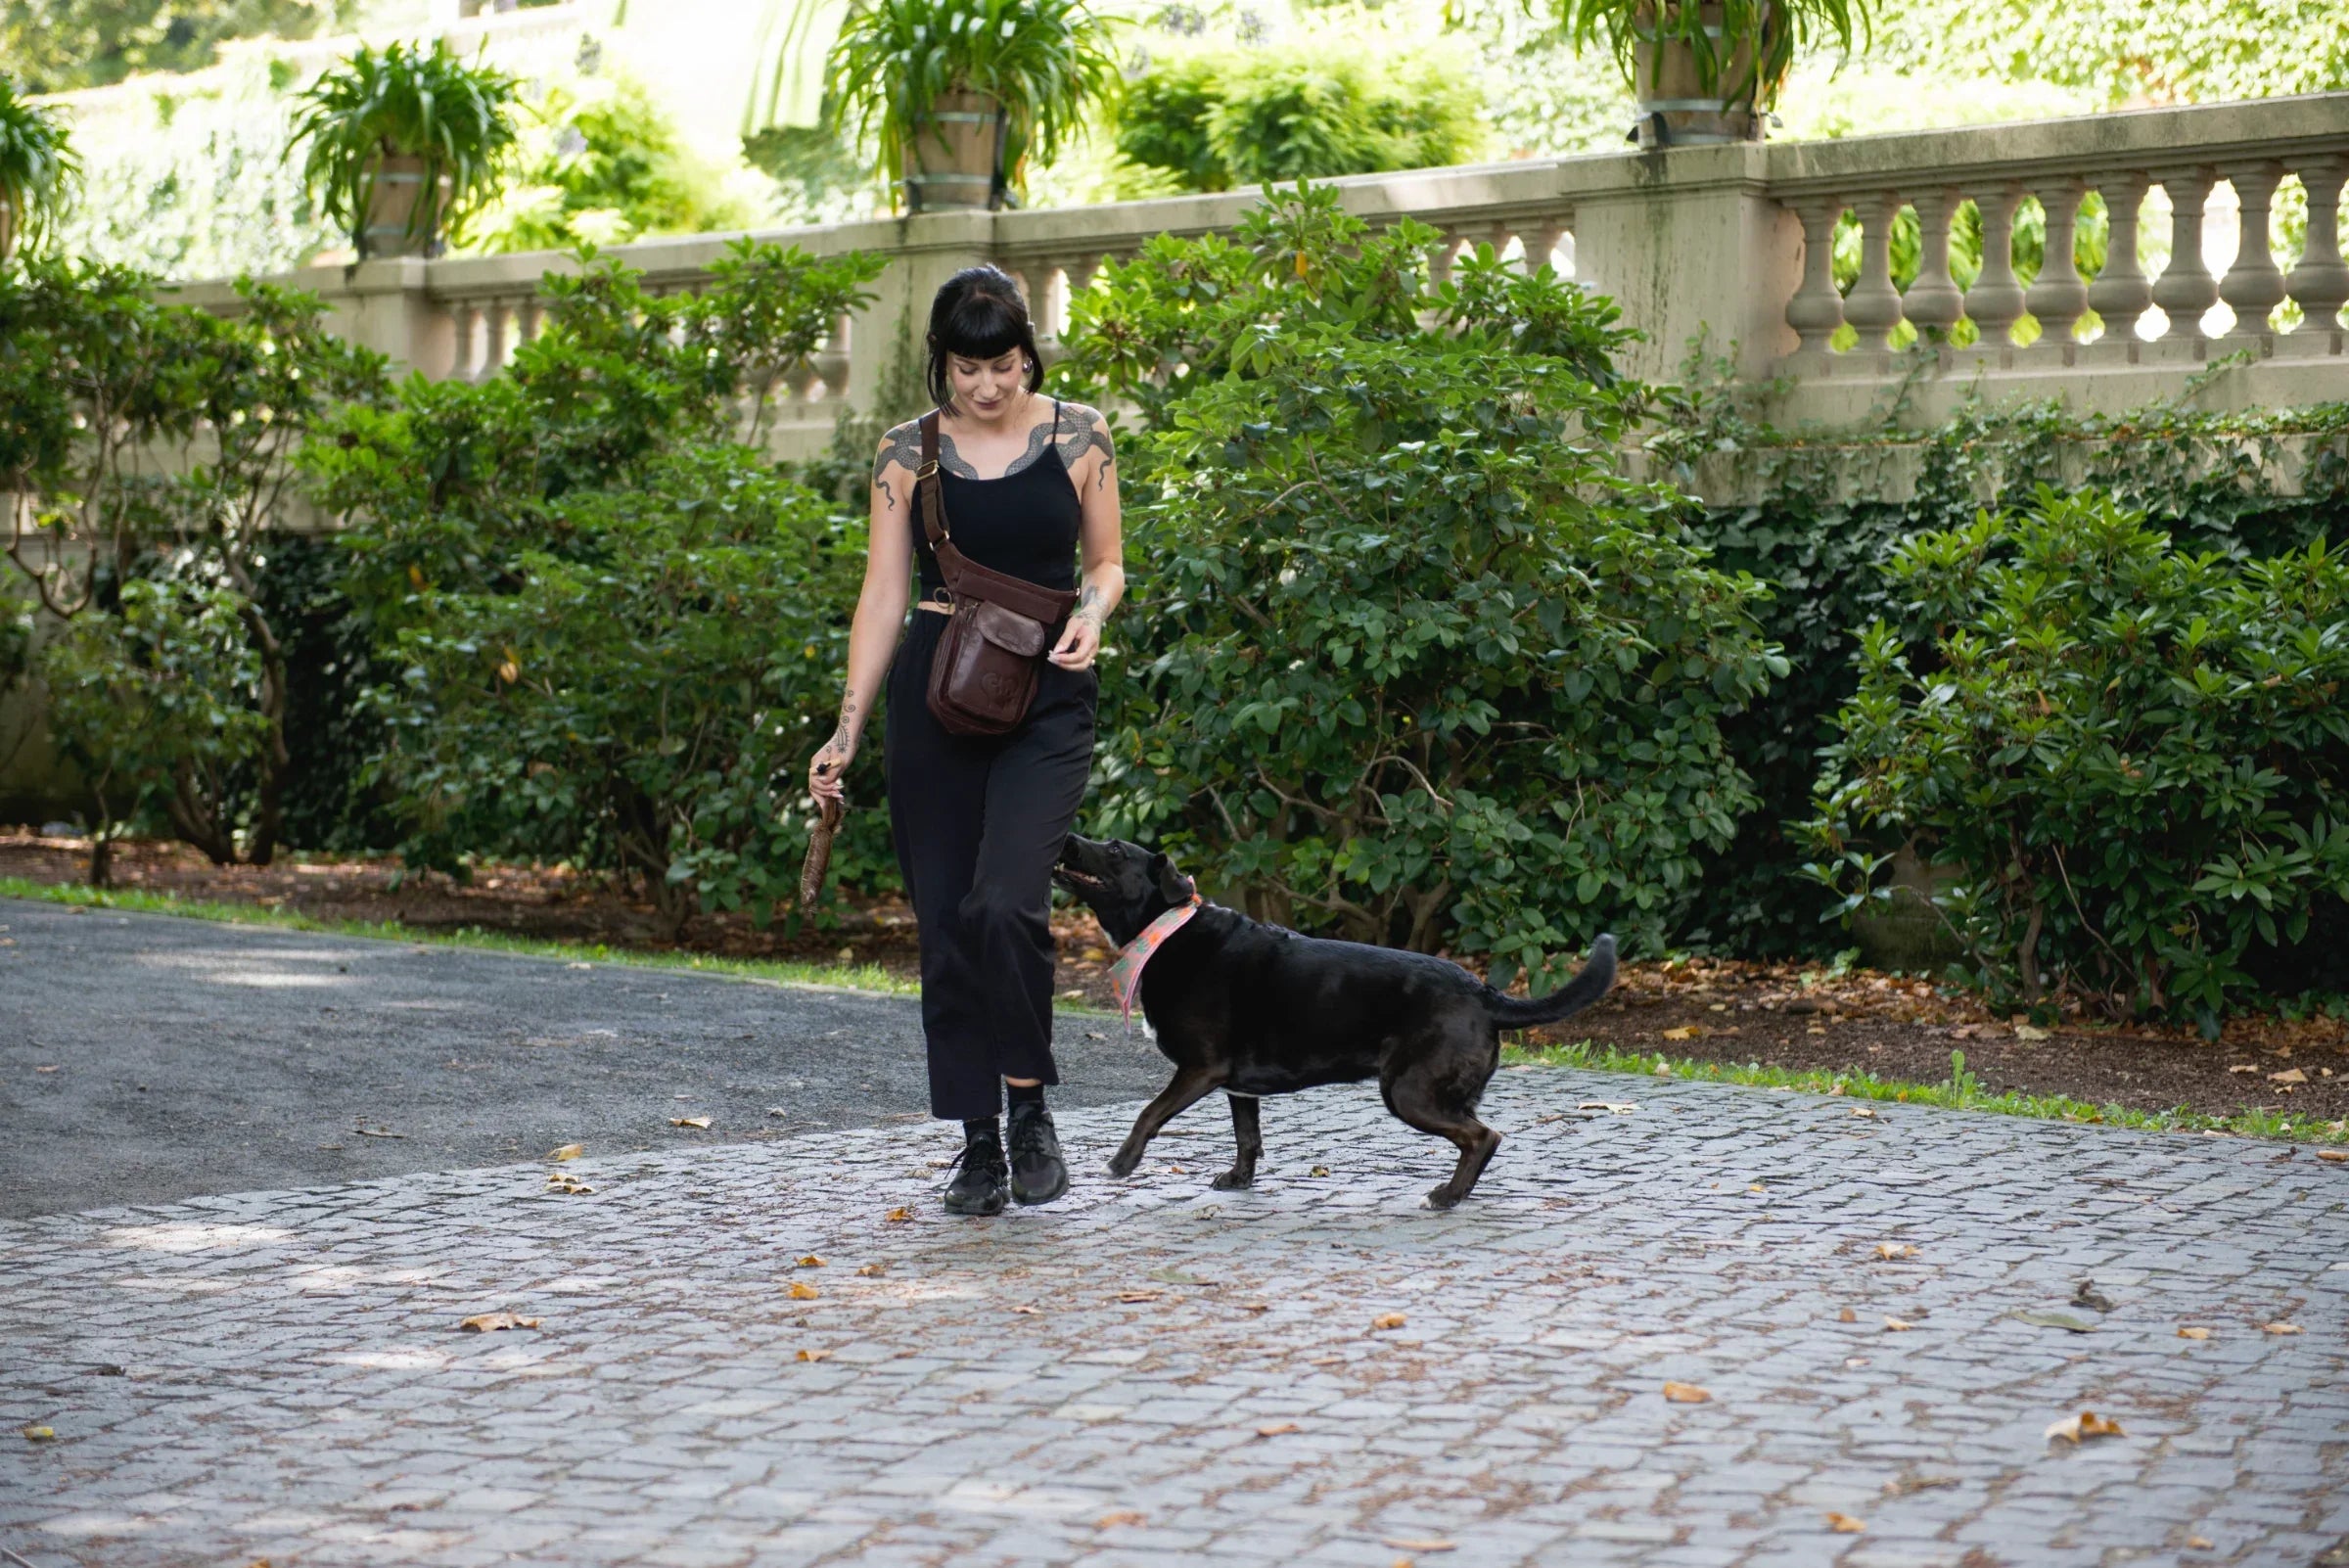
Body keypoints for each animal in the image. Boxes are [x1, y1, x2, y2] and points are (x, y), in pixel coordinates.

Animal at [1052, 830, 1616, 1211]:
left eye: (1116, 850)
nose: (1069, 839)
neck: (1167, 931)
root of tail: (1482, 991)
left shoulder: (1200, 1069)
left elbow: (1149, 1113)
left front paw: (1121, 1163)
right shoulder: (1236, 1084)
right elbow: (1247, 1137)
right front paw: (1239, 1181)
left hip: (1409, 1091)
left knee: (1483, 1137)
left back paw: (1448, 1195)